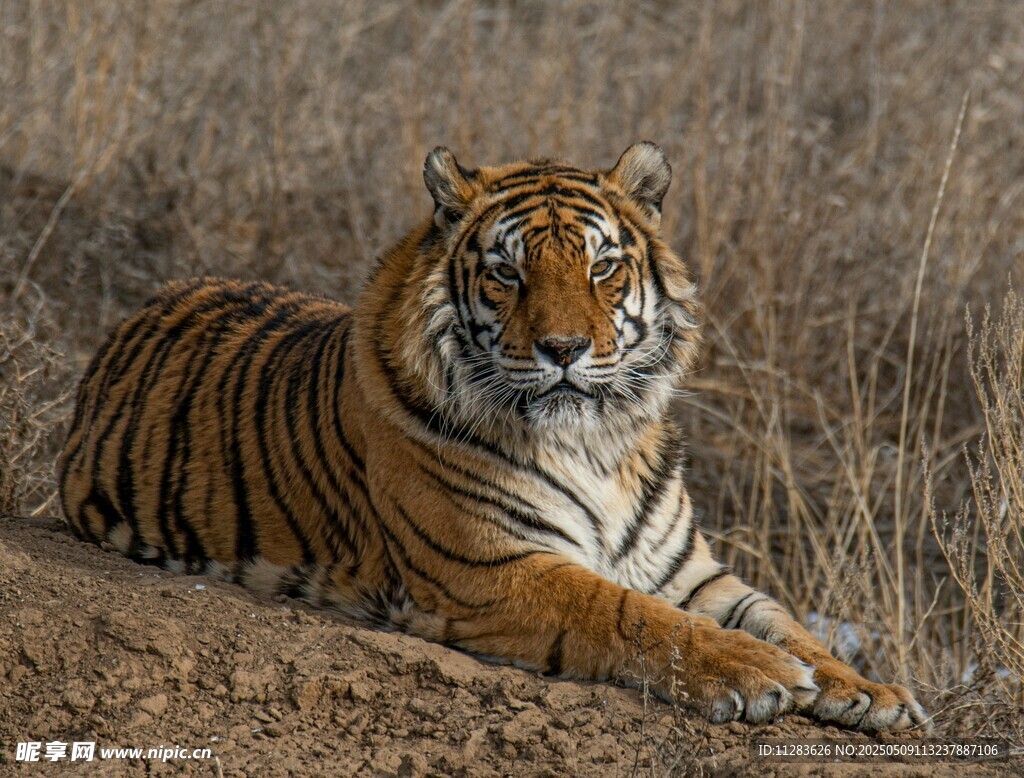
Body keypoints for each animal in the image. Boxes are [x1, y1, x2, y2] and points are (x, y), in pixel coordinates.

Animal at [58, 142, 927, 732]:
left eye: (602, 267)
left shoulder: (691, 572)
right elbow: (634, 615)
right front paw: (759, 673)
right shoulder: (493, 568)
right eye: (508, 273)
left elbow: (783, 618)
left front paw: (869, 689)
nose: (564, 349)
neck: (596, 444)